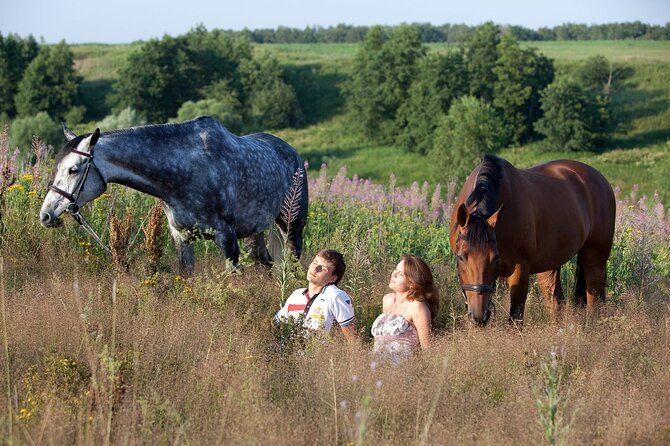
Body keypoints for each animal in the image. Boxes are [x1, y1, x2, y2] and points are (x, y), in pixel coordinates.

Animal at [39, 116, 308, 272]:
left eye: (73, 169)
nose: (46, 215)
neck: (185, 172)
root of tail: (292, 153)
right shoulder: (181, 238)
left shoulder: (227, 239)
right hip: (255, 234)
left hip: (292, 228)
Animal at [449, 154, 615, 325]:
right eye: (460, 257)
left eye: (495, 257)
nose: (479, 316)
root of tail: (601, 179)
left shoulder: (520, 268)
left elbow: (516, 317)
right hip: (550, 266)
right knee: (556, 302)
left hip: (595, 259)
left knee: (594, 299)